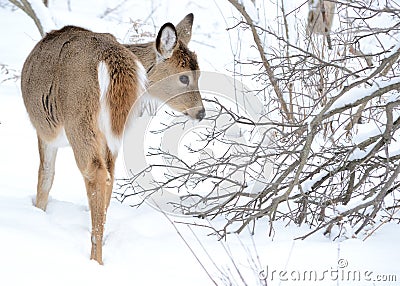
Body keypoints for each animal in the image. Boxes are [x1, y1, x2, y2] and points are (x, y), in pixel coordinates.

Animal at [21, 12, 203, 264]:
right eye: (185, 78)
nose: (201, 112)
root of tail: (112, 58)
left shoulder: (45, 132)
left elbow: (45, 177)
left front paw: (38, 212)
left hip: (79, 116)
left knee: (95, 173)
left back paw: (95, 259)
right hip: (109, 131)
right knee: (110, 176)